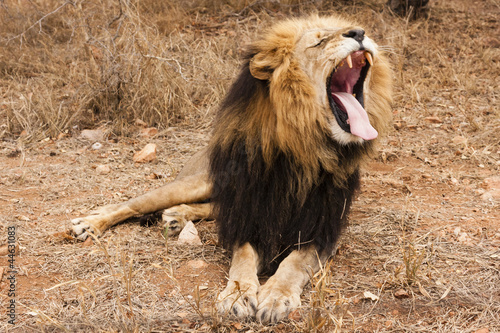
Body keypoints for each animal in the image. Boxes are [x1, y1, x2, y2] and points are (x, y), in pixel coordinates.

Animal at [71, 14, 390, 322]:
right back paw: (90, 223)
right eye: (319, 41)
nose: (359, 32)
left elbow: (294, 263)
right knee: (134, 203)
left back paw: (176, 216)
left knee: (211, 207)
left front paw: (276, 296)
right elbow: (244, 258)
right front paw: (237, 295)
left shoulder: (323, 229)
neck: (303, 149)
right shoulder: (249, 215)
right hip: (202, 182)